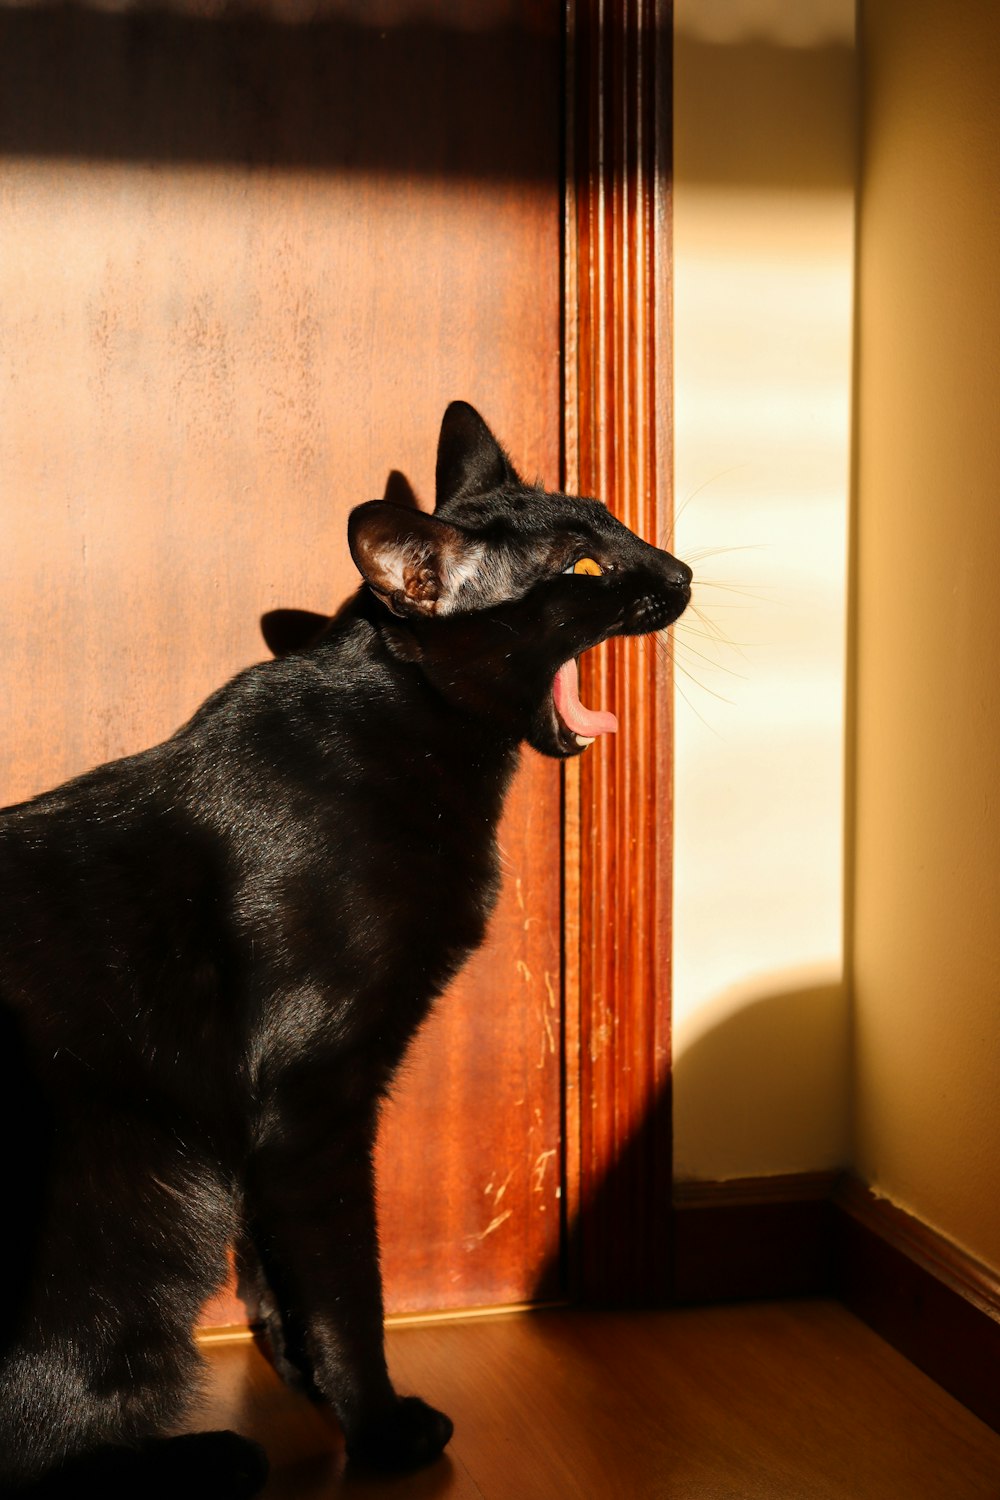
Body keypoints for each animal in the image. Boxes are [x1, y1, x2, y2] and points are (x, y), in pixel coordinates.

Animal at [0, 405, 689, 1494]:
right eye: (581, 568)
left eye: (615, 524)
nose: (681, 569)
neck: (405, 730)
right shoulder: (309, 1097)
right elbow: (341, 1280)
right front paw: (381, 1431)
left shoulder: (267, 1119)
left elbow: (280, 1272)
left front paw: (307, 1381)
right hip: (142, 1192)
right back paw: (212, 1459)